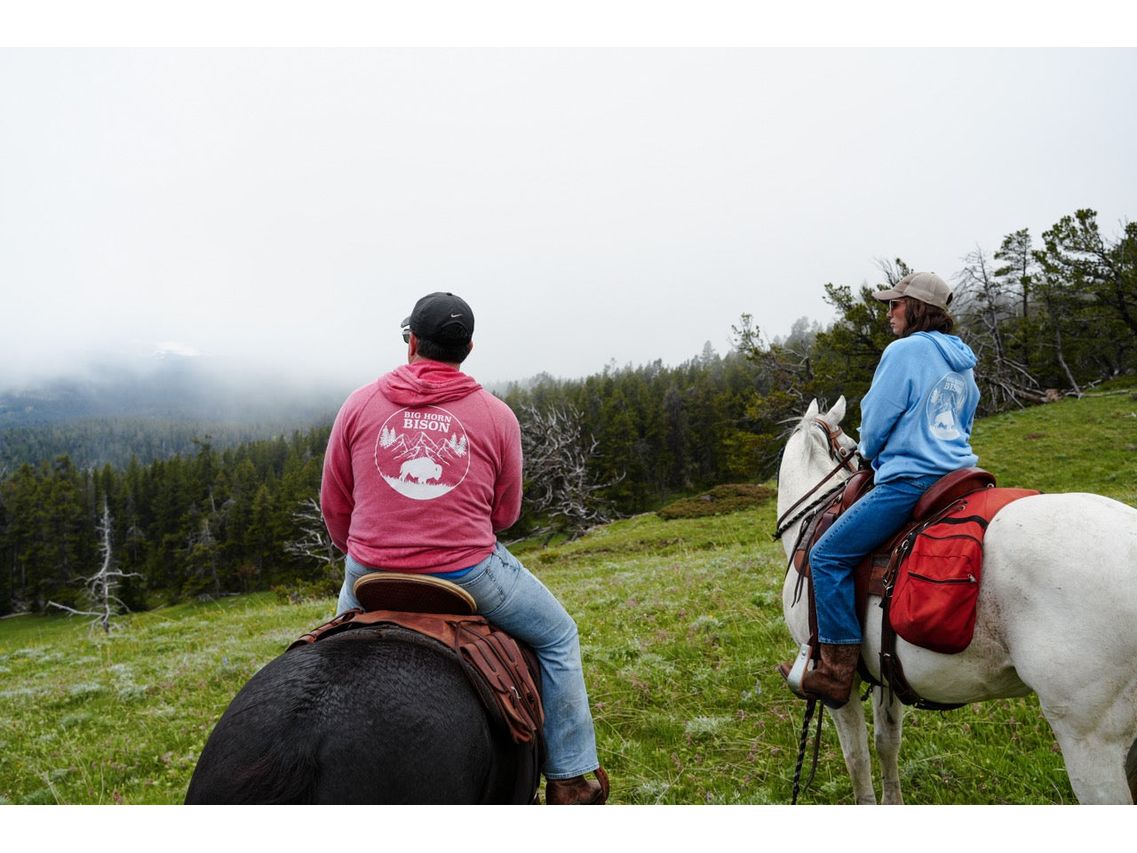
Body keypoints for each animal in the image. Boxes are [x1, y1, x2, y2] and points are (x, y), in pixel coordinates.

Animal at [777, 398, 1132, 805]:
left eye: (852, 444)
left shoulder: (837, 686)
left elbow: (856, 759)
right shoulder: (885, 671)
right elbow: (886, 743)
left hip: (1091, 741)